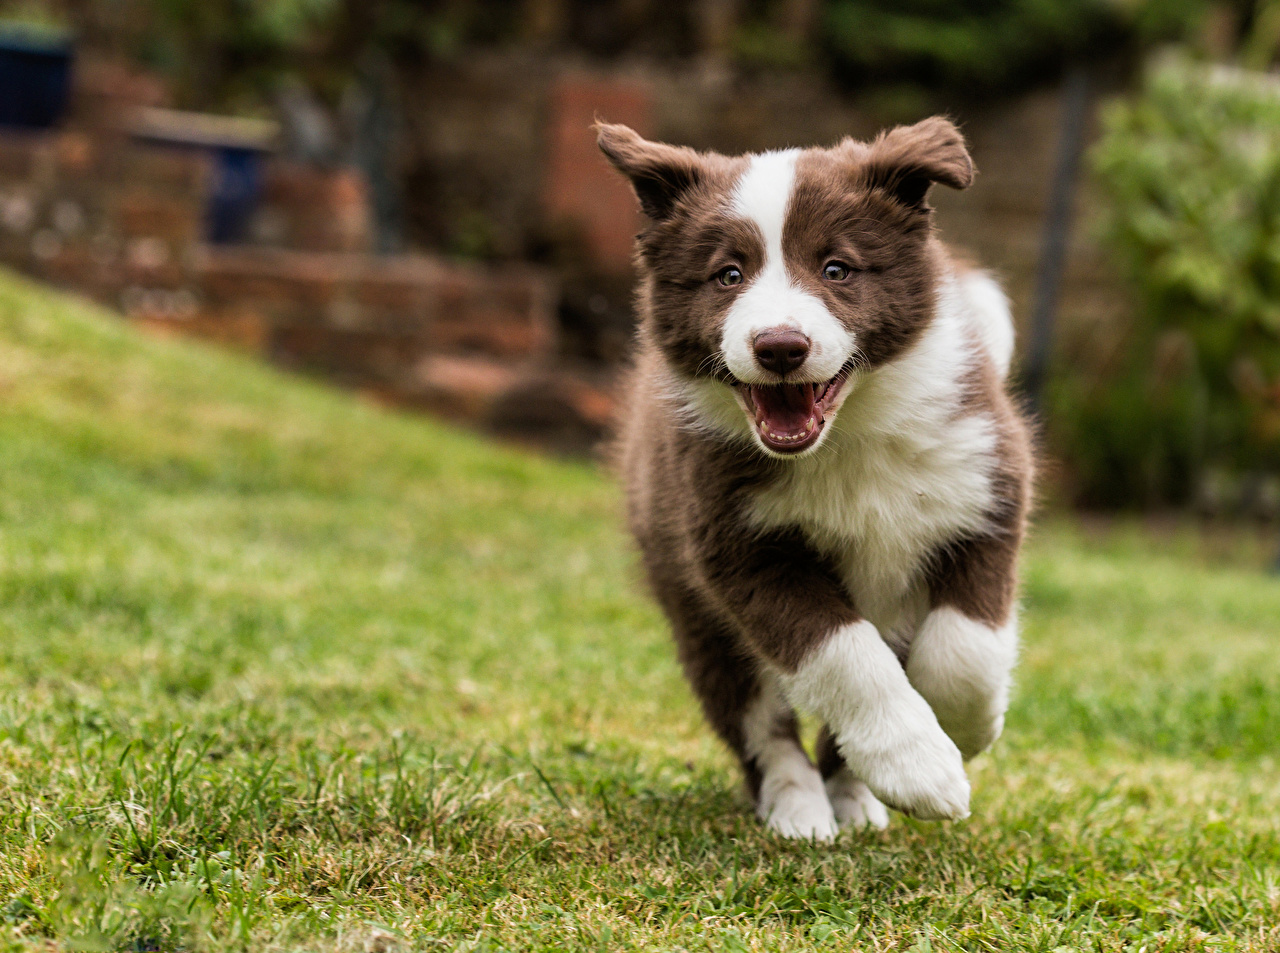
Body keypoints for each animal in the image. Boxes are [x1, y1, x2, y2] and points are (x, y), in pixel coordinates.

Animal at [601, 120, 1039, 839]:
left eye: (837, 269)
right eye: (728, 275)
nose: (780, 346)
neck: (847, 434)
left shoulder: (985, 490)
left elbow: (966, 649)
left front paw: (961, 732)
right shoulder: (739, 544)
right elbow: (844, 656)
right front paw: (921, 768)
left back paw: (855, 798)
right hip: (696, 613)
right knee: (758, 722)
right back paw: (799, 806)